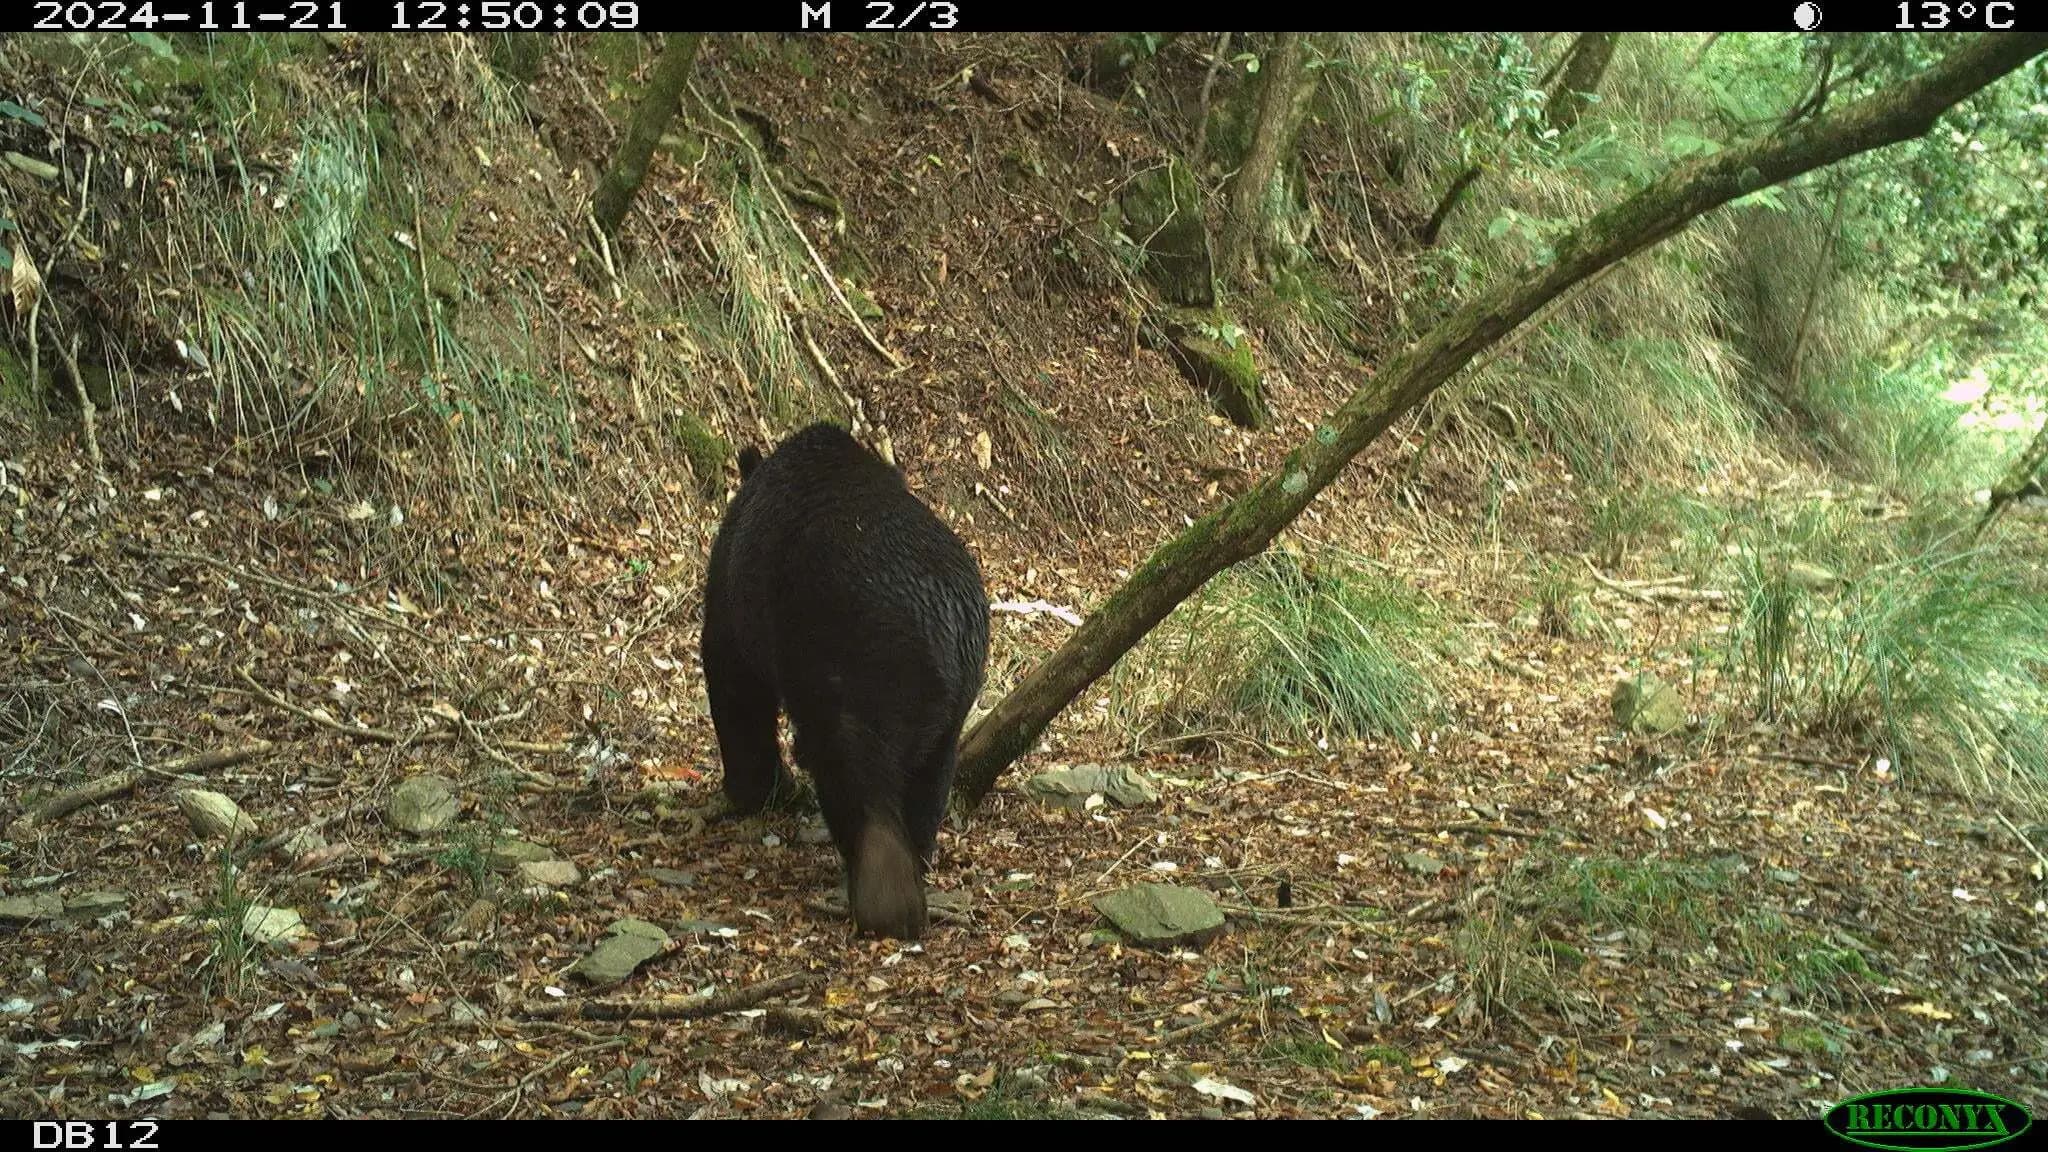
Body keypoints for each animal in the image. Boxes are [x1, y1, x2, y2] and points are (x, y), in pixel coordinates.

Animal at [701, 422, 989, 940]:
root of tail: (945, 621)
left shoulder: (741, 595)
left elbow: (735, 682)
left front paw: (759, 790)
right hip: (955, 702)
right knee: (928, 783)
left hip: (858, 670)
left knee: (857, 780)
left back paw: (882, 901)